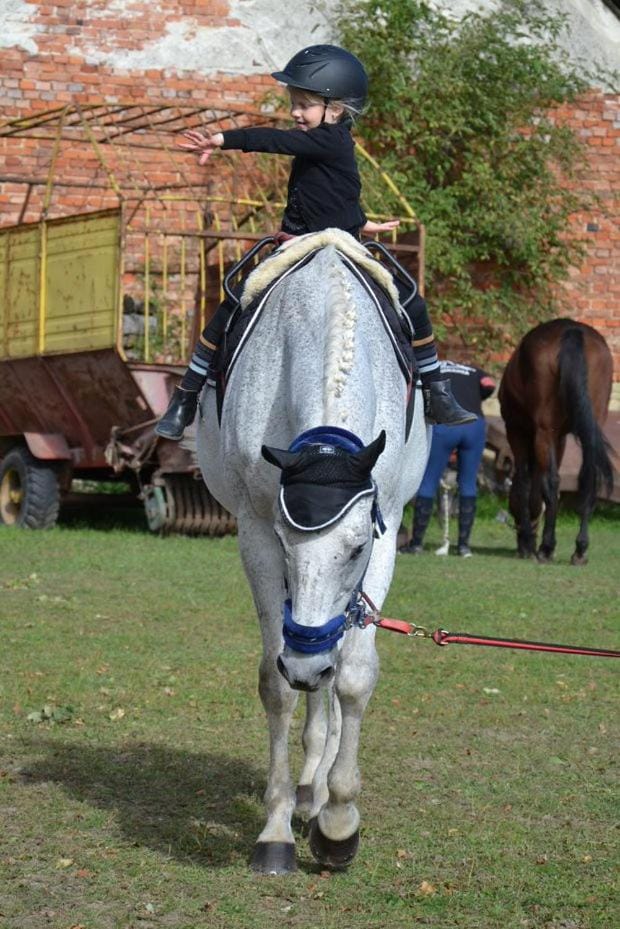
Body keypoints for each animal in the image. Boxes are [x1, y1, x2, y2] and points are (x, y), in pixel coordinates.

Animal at [196, 230, 430, 873]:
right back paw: (305, 791)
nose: (305, 662)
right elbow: (276, 684)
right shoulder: (255, 533)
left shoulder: (385, 529)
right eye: (282, 540)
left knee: (332, 670)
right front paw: (276, 831)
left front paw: (340, 823)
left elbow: (352, 677)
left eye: (356, 549)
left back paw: (319, 792)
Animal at [499, 318, 614, 565]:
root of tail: (571, 331)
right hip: (590, 425)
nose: (522, 536)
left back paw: (545, 547)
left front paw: (528, 543)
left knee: (552, 482)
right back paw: (580, 550)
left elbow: (525, 481)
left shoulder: (517, 432)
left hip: (543, 431)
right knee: (588, 479)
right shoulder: (559, 438)